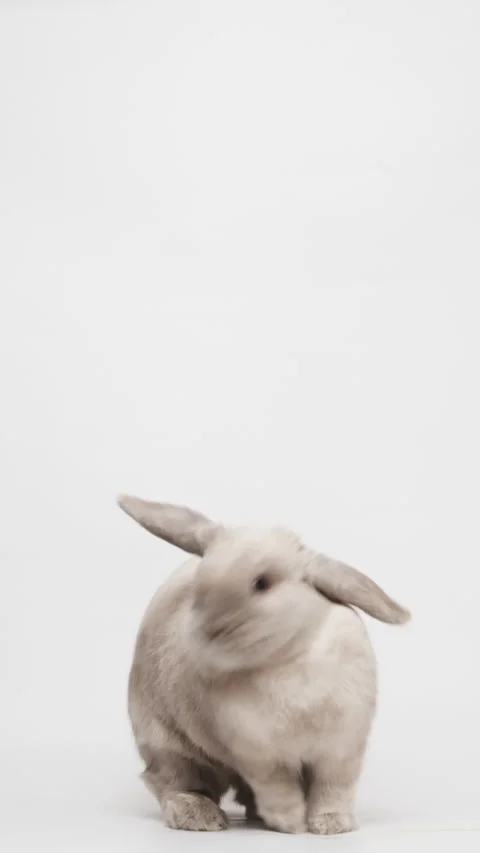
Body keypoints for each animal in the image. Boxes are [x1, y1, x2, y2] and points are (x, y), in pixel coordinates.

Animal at [118, 494, 410, 835]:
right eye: (199, 587)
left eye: (262, 583)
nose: (210, 631)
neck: (286, 658)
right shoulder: (261, 758)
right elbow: (280, 790)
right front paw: (293, 824)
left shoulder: (340, 750)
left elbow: (332, 788)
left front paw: (333, 825)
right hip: (165, 741)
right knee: (174, 781)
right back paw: (200, 816)